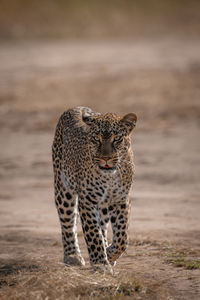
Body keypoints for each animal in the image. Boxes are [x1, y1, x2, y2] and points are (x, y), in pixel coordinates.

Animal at [51, 106, 137, 268]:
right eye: (96, 139)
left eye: (117, 138)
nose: (106, 158)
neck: (109, 177)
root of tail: (76, 107)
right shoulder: (87, 201)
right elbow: (93, 234)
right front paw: (100, 264)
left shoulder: (121, 199)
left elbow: (122, 238)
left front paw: (109, 255)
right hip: (63, 189)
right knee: (67, 223)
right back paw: (72, 256)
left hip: (103, 205)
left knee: (102, 226)